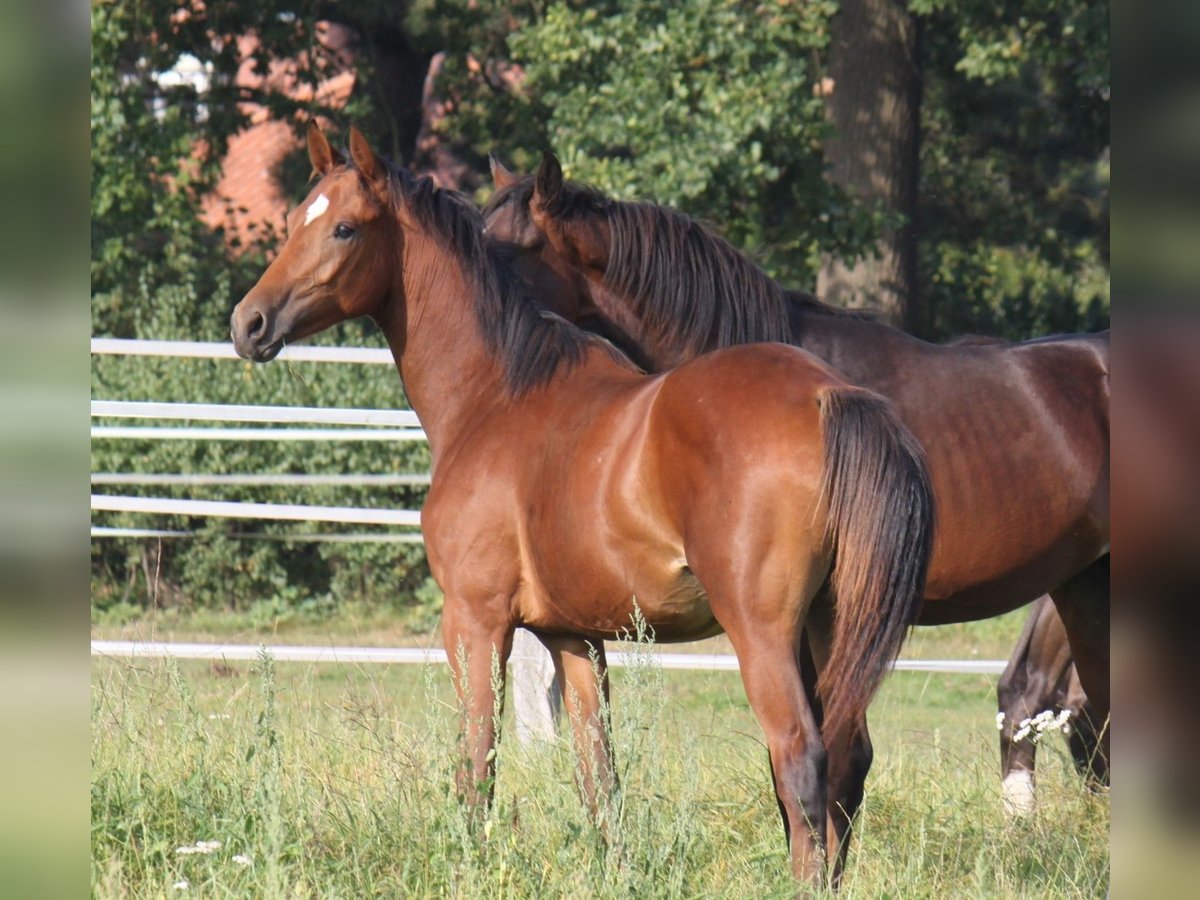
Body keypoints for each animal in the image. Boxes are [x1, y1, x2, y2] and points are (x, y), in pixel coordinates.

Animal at [226, 127, 936, 888]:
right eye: (293, 221)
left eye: (345, 228)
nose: (249, 322)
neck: (499, 395)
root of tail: (830, 395)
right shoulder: (577, 637)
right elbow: (600, 779)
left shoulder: (476, 621)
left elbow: (476, 766)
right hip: (829, 630)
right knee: (844, 763)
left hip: (765, 635)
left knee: (801, 759)